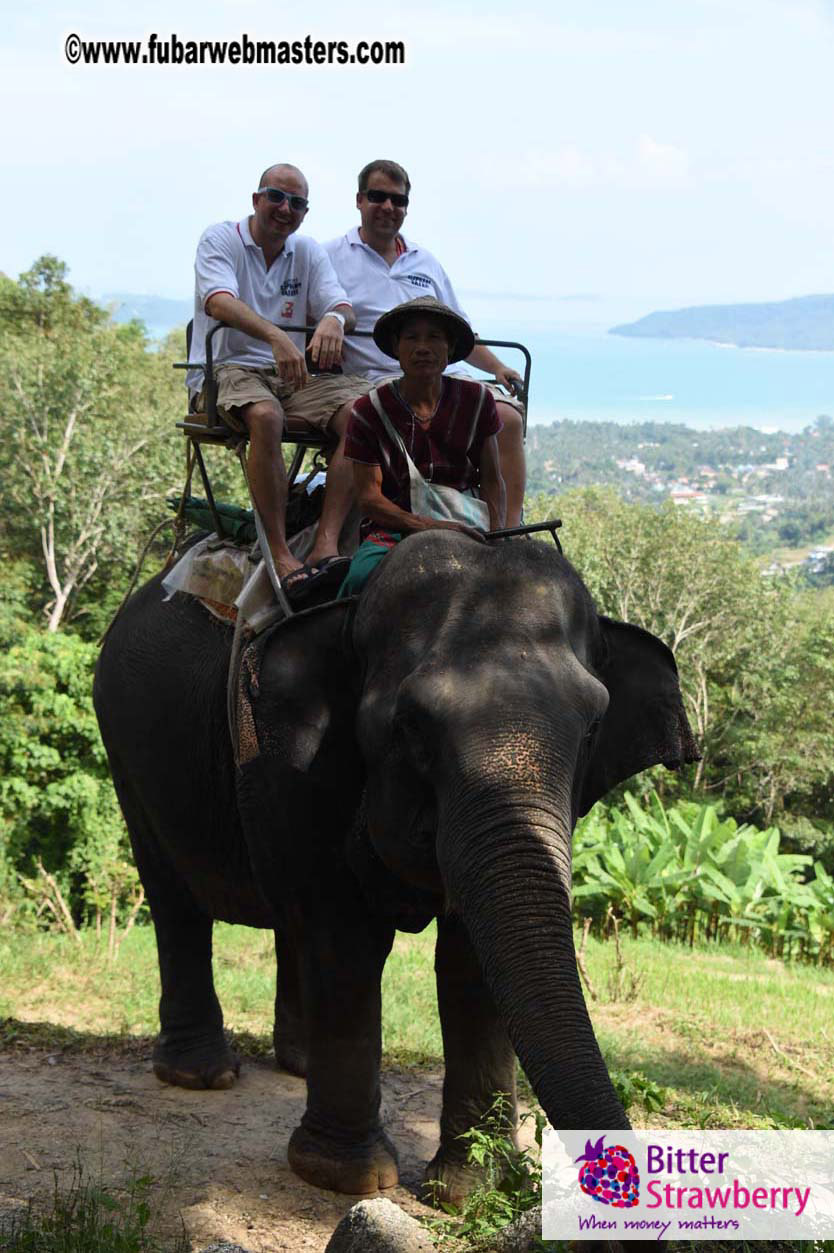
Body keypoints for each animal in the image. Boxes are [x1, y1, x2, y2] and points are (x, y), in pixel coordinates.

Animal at [93, 529, 698, 1202]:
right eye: (410, 726)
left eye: (593, 728)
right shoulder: (292, 761)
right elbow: (346, 936)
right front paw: (348, 1178)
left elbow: (470, 960)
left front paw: (469, 1190)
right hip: (127, 748)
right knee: (177, 900)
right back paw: (203, 1075)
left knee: (286, 920)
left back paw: (297, 1064)